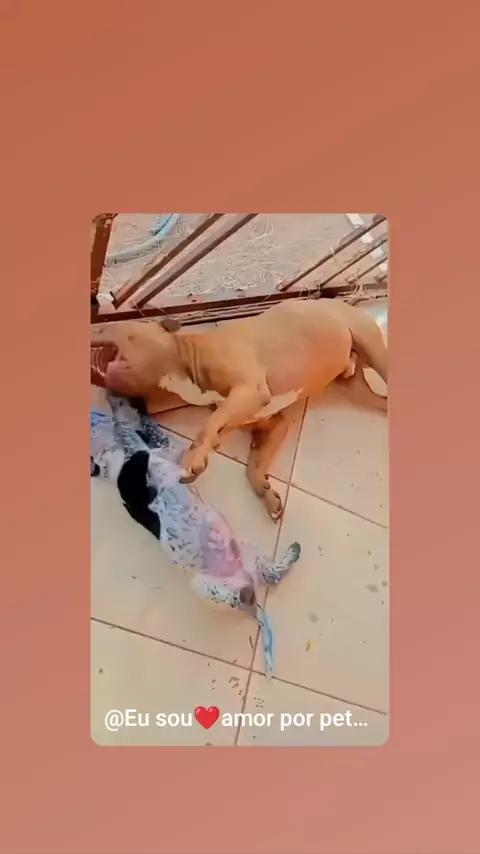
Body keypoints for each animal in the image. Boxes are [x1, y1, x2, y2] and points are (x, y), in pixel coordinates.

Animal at [92, 298, 388, 521]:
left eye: (113, 328)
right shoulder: (268, 421)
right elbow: (250, 461)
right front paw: (264, 492)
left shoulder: (249, 389)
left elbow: (210, 425)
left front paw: (193, 457)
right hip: (356, 389)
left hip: (372, 348)